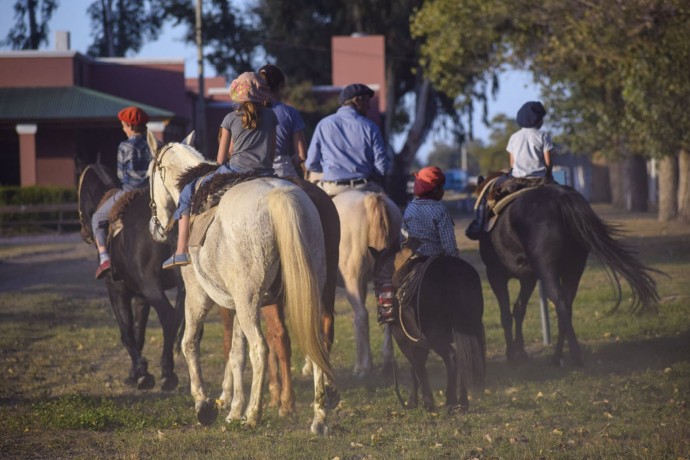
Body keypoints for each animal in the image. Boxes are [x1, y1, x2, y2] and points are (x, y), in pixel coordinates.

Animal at [77, 164, 184, 390]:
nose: (84, 232)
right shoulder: (141, 297)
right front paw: (136, 372)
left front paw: (141, 373)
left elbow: (127, 333)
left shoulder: (117, 291)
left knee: (168, 317)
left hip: (151, 286)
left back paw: (167, 373)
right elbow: (138, 332)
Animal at [146, 131, 334, 434]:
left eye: (148, 175)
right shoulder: (235, 303)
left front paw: (204, 404)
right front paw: (234, 409)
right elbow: (236, 353)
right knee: (315, 344)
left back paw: (254, 414)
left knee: (261, 348)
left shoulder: (198, 296)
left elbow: (190, 343)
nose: (155, 228)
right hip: (300, 296)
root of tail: (279, 195)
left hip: (249, 302)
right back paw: (318, 417)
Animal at [472, 174, 656, 368]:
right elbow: (519, 310)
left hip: (548, 270)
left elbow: (506, 314)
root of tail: (561, 198)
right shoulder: (528, 279)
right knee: (566, 306)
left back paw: (574, 356)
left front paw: (511, 355)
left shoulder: (496, 275)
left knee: (559, 302)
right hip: (573, 270)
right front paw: (520, 352)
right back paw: (557, 357)